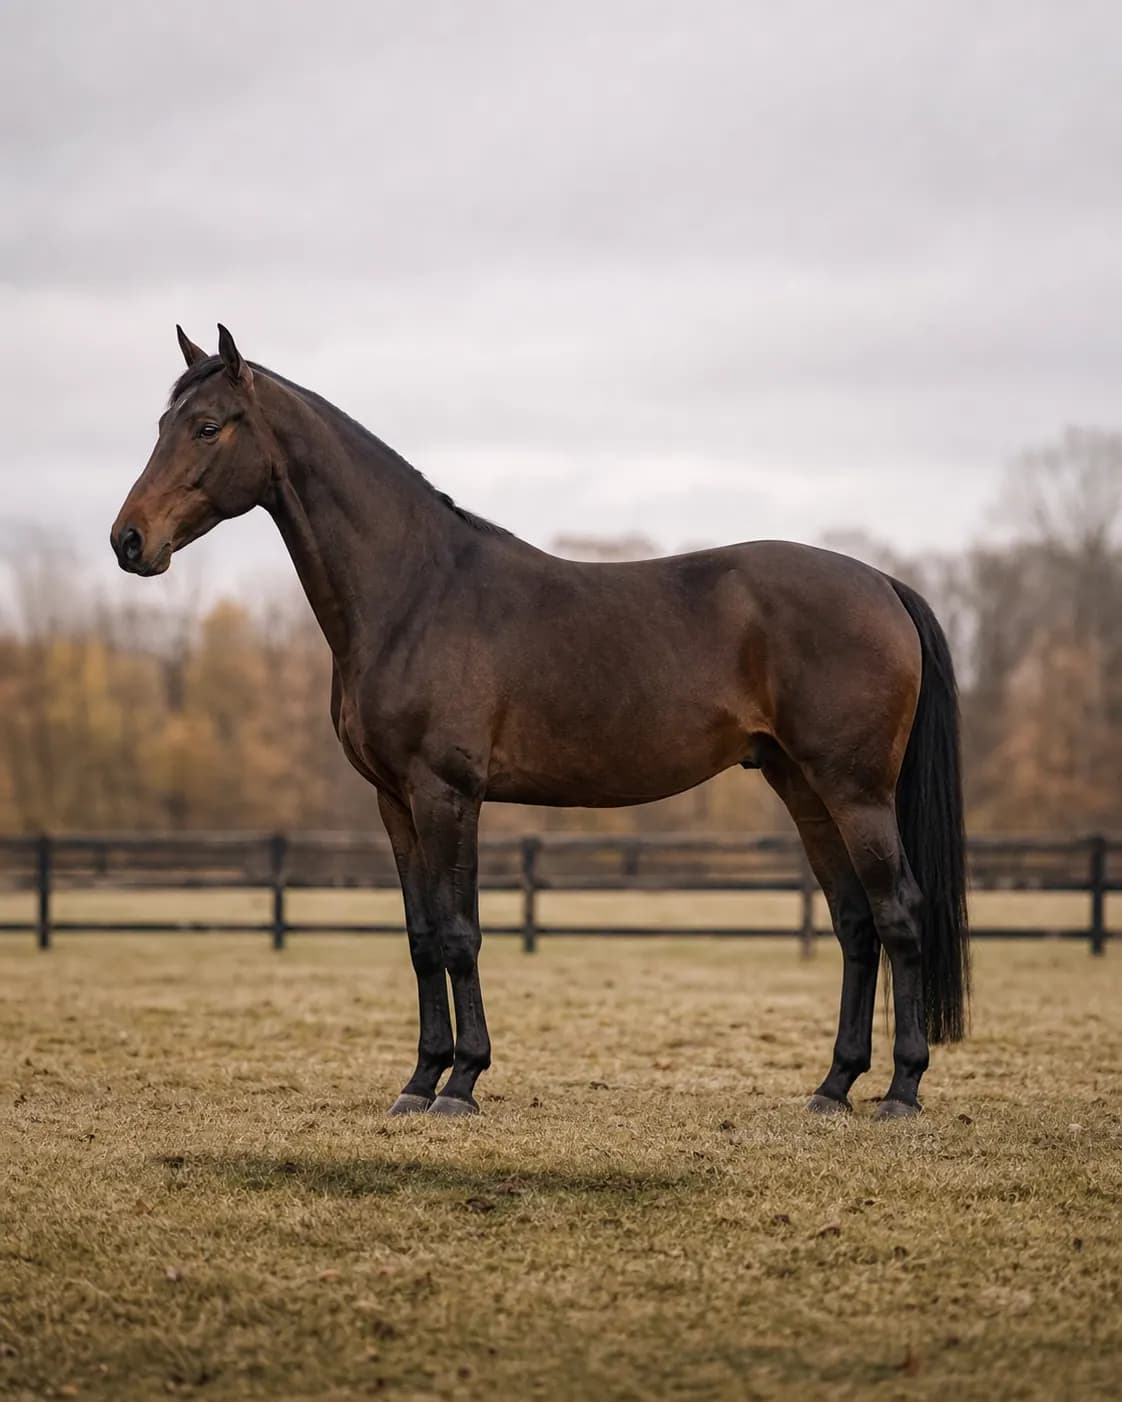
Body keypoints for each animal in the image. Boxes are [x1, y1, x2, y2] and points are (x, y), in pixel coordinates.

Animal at [110, 325, 969, 1120]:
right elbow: (421, 938)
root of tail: (883, 584)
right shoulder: (394, 801)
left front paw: (461, 1084)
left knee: (898, 914)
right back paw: (833, 1087)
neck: (416, 592)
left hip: (855, 791)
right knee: (855, 923)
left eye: (208, 426)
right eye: (162, 424)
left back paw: (901, 1092)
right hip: (803, 788)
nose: (129, 540)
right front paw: (418, 1082)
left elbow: (459, 933)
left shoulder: (447, 793)